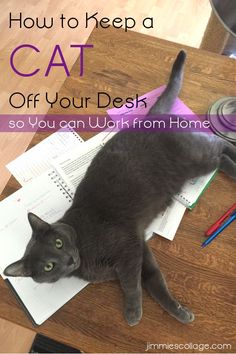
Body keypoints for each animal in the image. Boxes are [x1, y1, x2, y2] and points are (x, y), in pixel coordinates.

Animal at [3, 49, 236, 326]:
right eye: (48, 266)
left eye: (58, 243)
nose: (68, 259)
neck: (84, 252)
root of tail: (149, 117)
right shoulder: (139, 246)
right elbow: (154, 280)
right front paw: (178, 311)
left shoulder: (128, 249)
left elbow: (130, 283)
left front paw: (133, 313)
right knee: (219, 157)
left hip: (193, 157)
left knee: (219, 146)